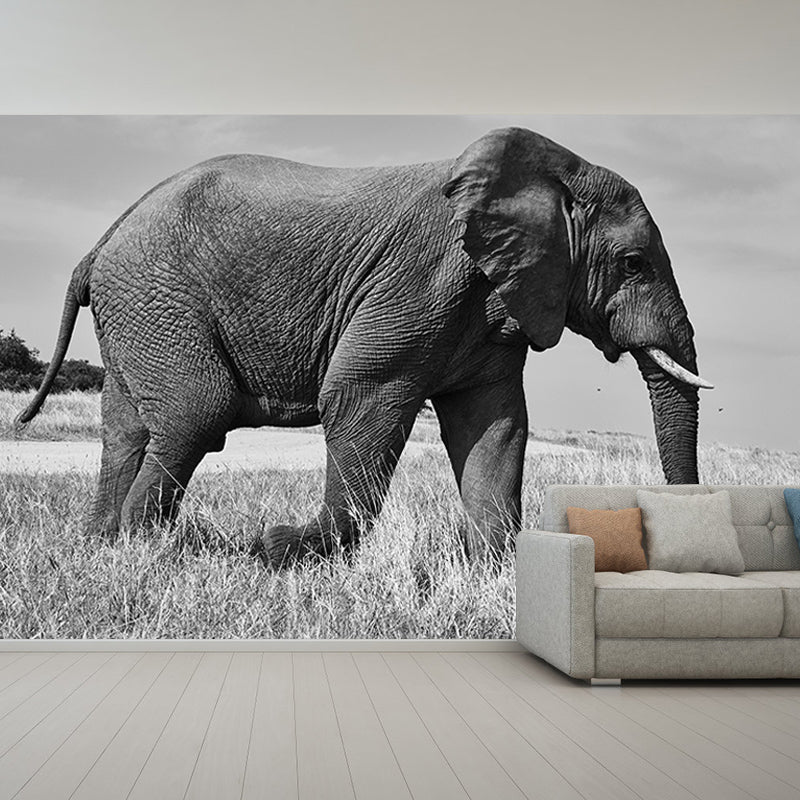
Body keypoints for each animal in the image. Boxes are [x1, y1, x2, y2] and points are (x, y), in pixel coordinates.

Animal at [17, 126, 712, 565]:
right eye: (633, 264)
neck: (553, 170)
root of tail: (100, 243)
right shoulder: (422, 278)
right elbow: (359, 395)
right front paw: (282, 549)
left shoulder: (494, 302)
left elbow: (495, 424)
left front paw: (495, 568)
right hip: (158, 295)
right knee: (196, 411)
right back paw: (143, 550)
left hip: (136, 309)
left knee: (127, 429)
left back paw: (104, 544)